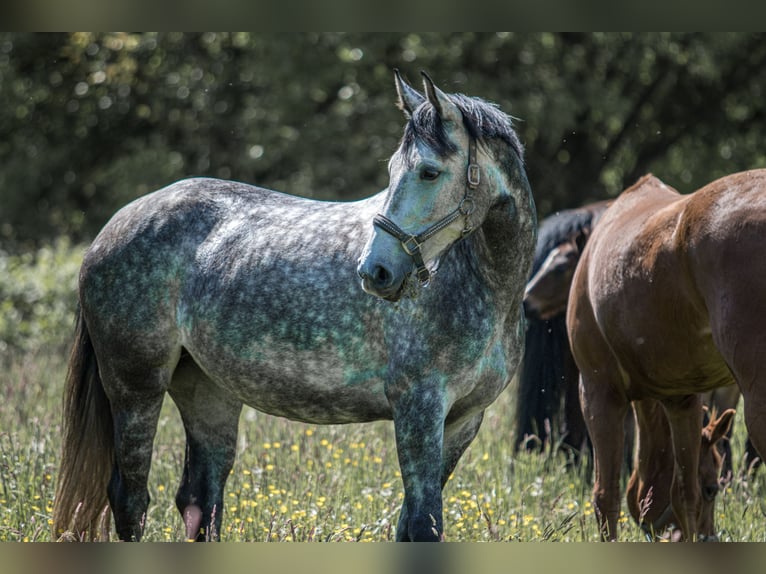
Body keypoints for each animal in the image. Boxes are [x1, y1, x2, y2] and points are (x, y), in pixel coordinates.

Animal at [54, 70, 536, 544]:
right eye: (393, 170)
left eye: (430, 172)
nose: (375, 272)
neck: (483, 285)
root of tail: (114, 226)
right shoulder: (418, 409)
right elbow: (422, 525)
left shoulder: (462, 421)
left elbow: (411, 524)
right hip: (136, 388)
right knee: (131, 500)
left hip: (207, 391)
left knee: (200, 499)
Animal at [568, 172, 766, 544]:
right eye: (712, 488)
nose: (711, 538)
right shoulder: (682, 399)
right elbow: (682, 493)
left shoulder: (598, 393)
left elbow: (605, 497)